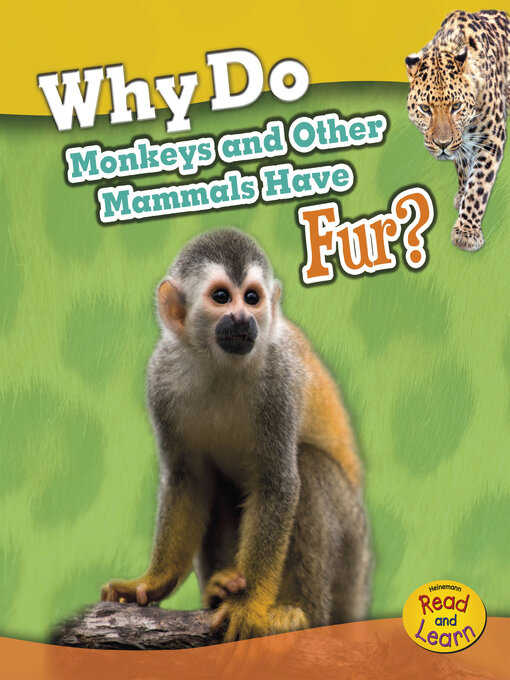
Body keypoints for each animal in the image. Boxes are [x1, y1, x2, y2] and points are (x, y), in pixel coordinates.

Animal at [101, 228, 371, 642]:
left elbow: (277, 483)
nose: (243, 317)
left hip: (353, 556)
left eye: (252, 298)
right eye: (222, 297)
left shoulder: (278, 379)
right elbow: (189, 480)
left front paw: (249, 605)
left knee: (308, 466)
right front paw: (153, 582)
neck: (220, 364)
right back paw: (219, 589)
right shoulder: (159, 378)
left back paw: (301, 615)